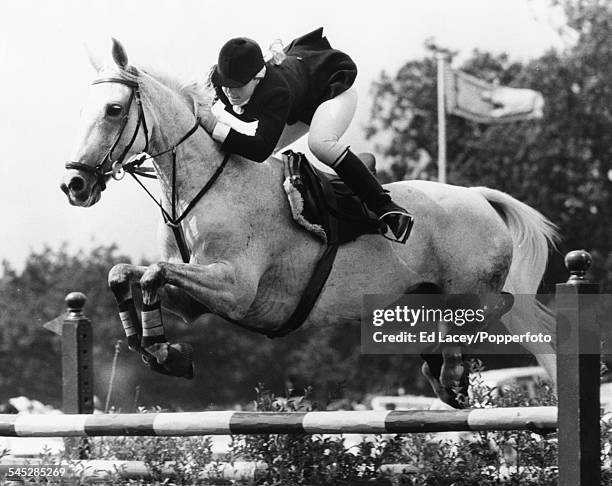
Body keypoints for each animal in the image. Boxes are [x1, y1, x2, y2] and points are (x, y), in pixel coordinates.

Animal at [62, 39, 560, 408]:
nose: (74, 185)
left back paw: (450, 367)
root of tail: (478, 197)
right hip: (423, 298)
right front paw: (160, 351)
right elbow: (126, 274)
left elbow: (150, 273)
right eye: (82, 109)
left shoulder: (235, 288)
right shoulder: (192, 300)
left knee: (487, 313)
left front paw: (167, 354)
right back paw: (444, 376)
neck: (197, 187)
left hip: (474, 291)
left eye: (113, 110)